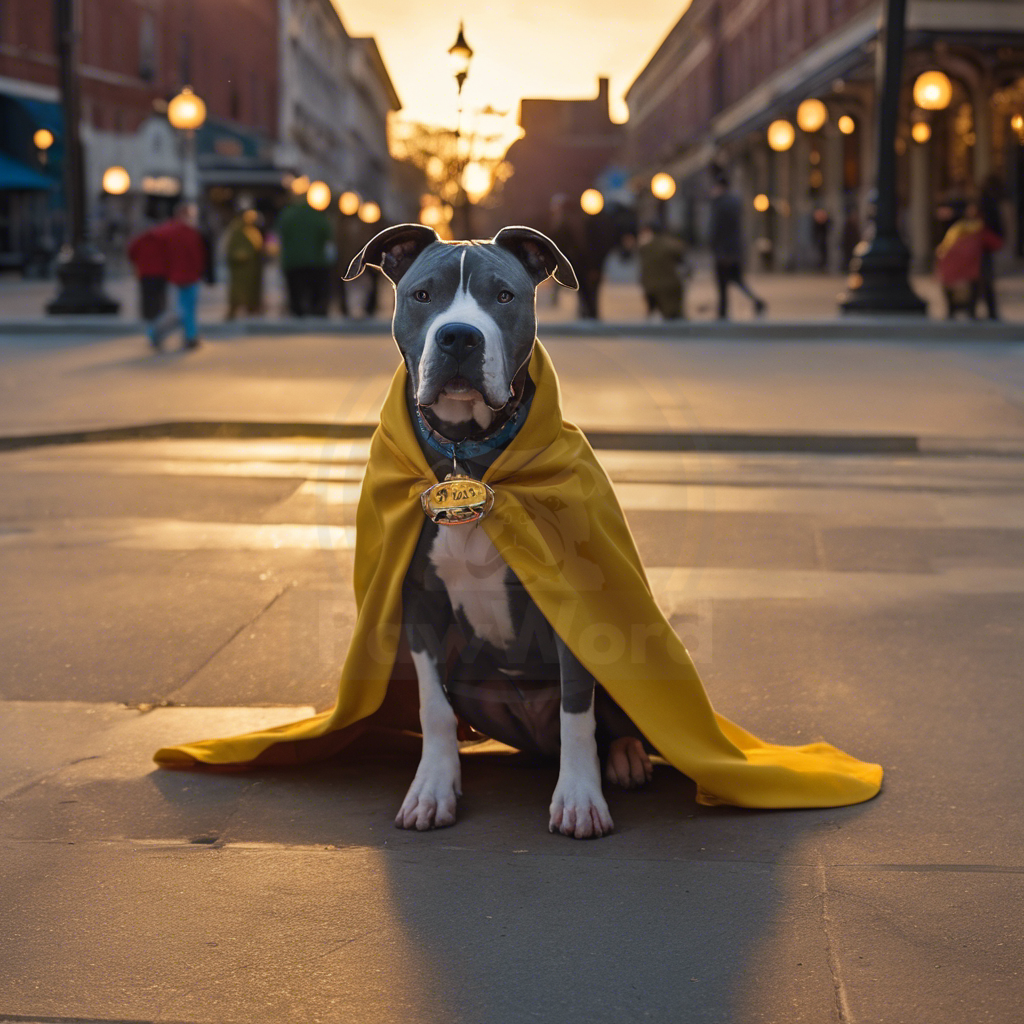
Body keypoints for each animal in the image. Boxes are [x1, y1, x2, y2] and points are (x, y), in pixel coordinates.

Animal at [339, 226, 651, 839]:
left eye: (504, 296)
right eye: (422, 295)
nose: (459, 335)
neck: (467, 452)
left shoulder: (572, 602)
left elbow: (578, 709)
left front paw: (580, 799)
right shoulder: (419, 600)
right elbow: (432, 707)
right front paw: (432, 788)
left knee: (610, 717)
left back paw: (625, 758)